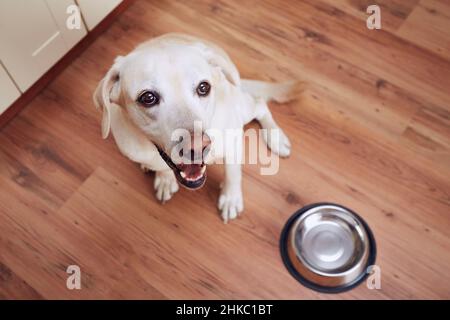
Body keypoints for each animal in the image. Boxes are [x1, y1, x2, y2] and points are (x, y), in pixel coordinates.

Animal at [93, 33, 300, 222]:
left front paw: (231, 198)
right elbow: (161, 167)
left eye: (203, 87)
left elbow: (233, 174)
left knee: (260, 104)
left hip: (243, 108)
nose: (198, 147)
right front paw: (165, 178)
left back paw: (276, 139)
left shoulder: (232, 144)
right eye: (148, 98)